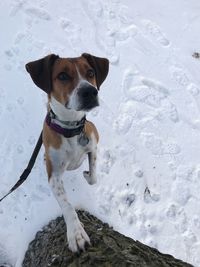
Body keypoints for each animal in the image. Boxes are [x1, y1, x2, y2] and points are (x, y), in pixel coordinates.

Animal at [25, 54, 109, 253]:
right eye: (62, 76)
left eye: (90, 72)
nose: (90, 92)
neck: (71, 129)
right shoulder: (54, 175)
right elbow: (67, 205)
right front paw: (76, 233)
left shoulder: (93, 146)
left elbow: (93, 177)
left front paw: (86, 173)